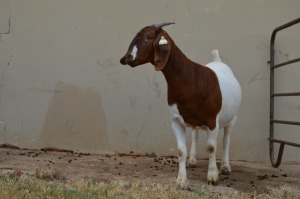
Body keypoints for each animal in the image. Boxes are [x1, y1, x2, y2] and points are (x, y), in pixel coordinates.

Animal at [119, 22, 241, 188]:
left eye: (148, 37)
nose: (127, 58)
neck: (192, 80)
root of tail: (218, 61)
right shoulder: (176, 120)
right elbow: (181, 150)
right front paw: (182, 180)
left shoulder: (212, 121)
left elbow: (211, 148)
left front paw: (212, 176)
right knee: (195, 134)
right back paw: (193, 160)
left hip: (232, 118)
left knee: (226, 140)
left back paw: (226, 167)